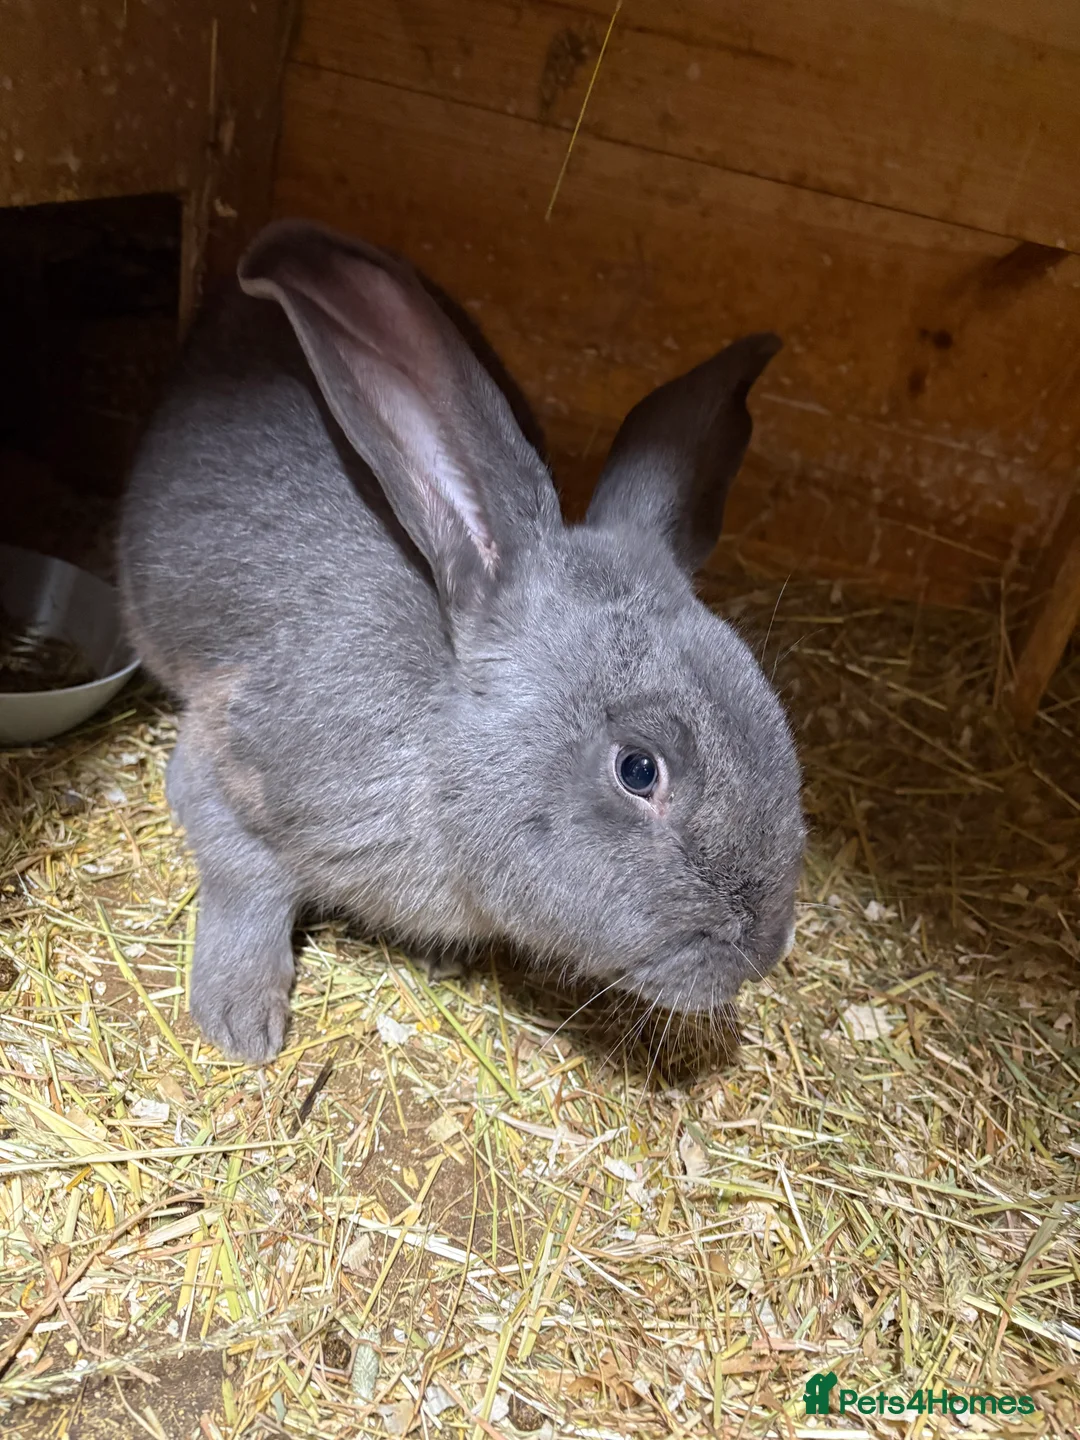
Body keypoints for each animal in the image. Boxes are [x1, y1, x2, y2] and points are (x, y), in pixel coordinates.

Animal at [118, 218, 805, 1064]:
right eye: (638, 770)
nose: (763, 951)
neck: (442, 747)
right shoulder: (230, 766)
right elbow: (246, 883)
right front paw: (242, 1024)